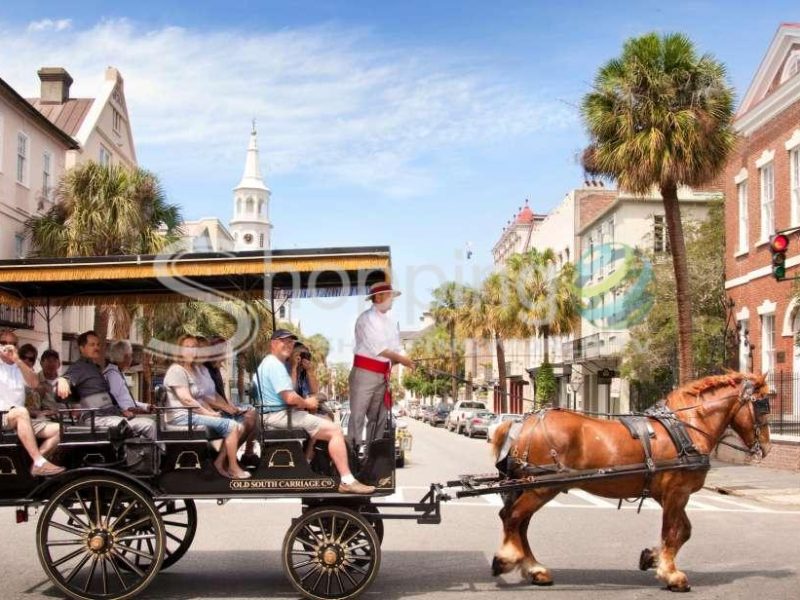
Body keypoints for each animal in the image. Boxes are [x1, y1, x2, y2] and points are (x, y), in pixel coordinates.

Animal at [490, 372, 772, 592]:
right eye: (762, 405)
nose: (767, 448)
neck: (686, 428)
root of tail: (523, 423)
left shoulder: (670, 495)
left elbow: (684, 531)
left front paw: (651, 557)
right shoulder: (676, 493)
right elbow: (672, 532)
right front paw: (671, 574)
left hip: (533, 487)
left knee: (519, 523)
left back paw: (534, 569)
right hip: (542, 487)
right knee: (513, 518)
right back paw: (507, 559)